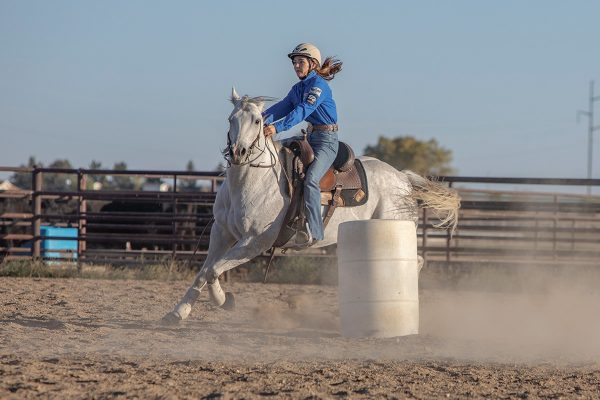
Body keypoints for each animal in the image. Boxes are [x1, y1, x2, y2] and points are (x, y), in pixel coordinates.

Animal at [161, 89, 460, 324]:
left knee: (416, 260)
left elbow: (213, 270)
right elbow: (203, 271)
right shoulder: (221, 232)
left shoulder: (255, 241)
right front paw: (177, 313)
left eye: (257, 120)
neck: (251, 182)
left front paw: (226, 301)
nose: (238, 152)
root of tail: (403, 178)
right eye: (231, 119)